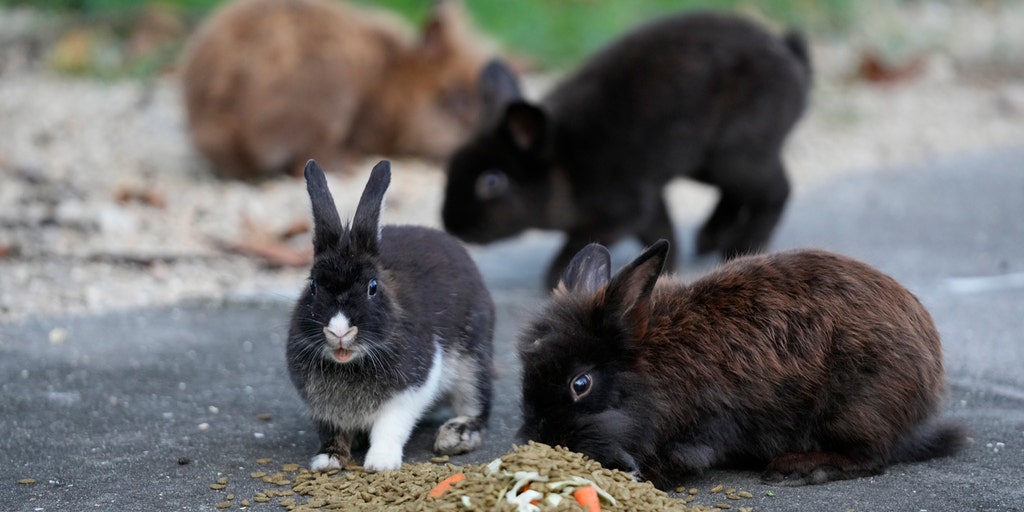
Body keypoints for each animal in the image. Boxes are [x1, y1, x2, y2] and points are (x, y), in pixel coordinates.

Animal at [287, 159, 494, 472]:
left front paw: (380, 463)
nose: (339, 330)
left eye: (372, 287)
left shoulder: (412, 388)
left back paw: (455, 435)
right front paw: (328, 460)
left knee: (478, 404)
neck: (351, 363)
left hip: (473, 360)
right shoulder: (323, 408)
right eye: (312, 285)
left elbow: (390, 425)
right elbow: (332, 431)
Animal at [442, 11, 811, 288]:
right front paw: (669, 268)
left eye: (492, 182)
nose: (452, 225)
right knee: (737, 193)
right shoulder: (648, 199)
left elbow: (581, 243)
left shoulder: (622, 211)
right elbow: (661, 230)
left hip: (734, 155)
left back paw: (741, 247)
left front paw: (554, 279)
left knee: (776, 190)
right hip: (707, 166)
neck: (562, 163)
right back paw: (710, 238)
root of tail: (789, 60)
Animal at [517, 240, 966, 488]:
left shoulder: (701, 432)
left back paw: (797, 470)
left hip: (856, 406)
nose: (538, 439)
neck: (653, 366)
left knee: (871, 456)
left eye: (581, 384)